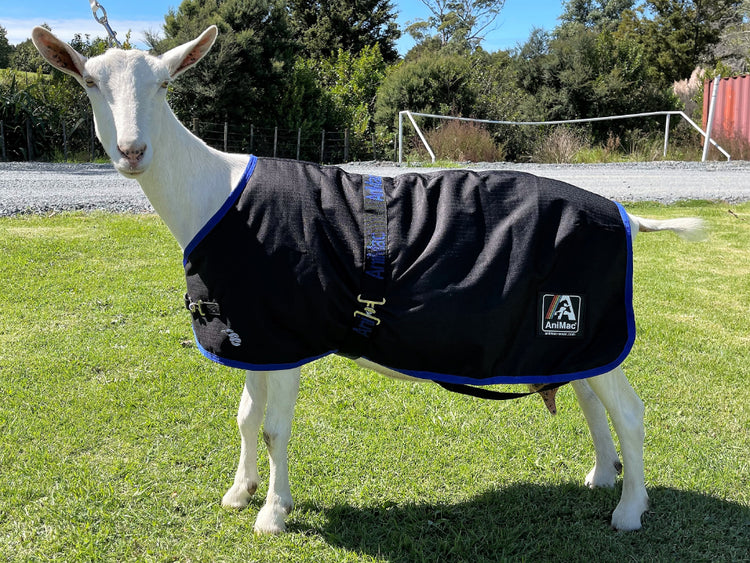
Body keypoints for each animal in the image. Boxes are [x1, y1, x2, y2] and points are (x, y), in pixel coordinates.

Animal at [32, 25, 704, 534]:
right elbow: (247, 417)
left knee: (630, 411)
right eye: (89, 81)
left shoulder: (292, 331)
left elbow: (274, 427)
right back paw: (600, 476)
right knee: (592, 398)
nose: (132, 151)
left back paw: (628, 511)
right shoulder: (254, 328)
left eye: (166, 84)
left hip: (586, 317)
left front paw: (272, 515)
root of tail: (626, 215)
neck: (215, 196)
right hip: (572, 335)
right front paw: (239, 493)